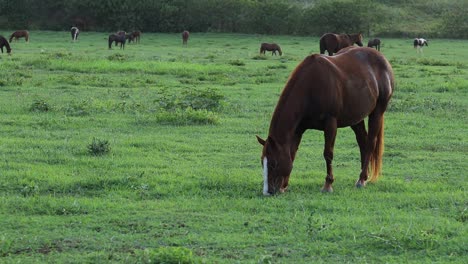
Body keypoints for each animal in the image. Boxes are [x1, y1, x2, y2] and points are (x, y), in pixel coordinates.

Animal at [258, 47, 394, 196]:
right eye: (262, 162)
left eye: (274, 163)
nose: (268, 191)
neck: (310, 87)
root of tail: (383, 61)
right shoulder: (298, 129)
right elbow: (292, 153)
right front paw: (285, 185)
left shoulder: (330, 124)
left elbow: (328, 153)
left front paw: (328, 184)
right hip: (355, 117)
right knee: (362, 142)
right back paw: (362, 178)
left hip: (377, 111)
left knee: (370, 143)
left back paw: (361, 179)